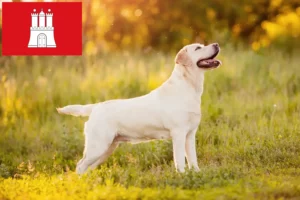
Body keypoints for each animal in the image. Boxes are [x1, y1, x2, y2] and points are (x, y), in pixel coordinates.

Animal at [56, 43, 220, 174]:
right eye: (198, 48)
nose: (216, 44)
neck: (189, 86)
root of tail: (96, 107)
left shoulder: (190, 134)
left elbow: (193, 159)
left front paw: (197, 174)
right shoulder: (178, 133)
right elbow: (179, 160)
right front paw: (182, 176)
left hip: (107, 148)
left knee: (87, 167)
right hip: (98, 146)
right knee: (80, 165)